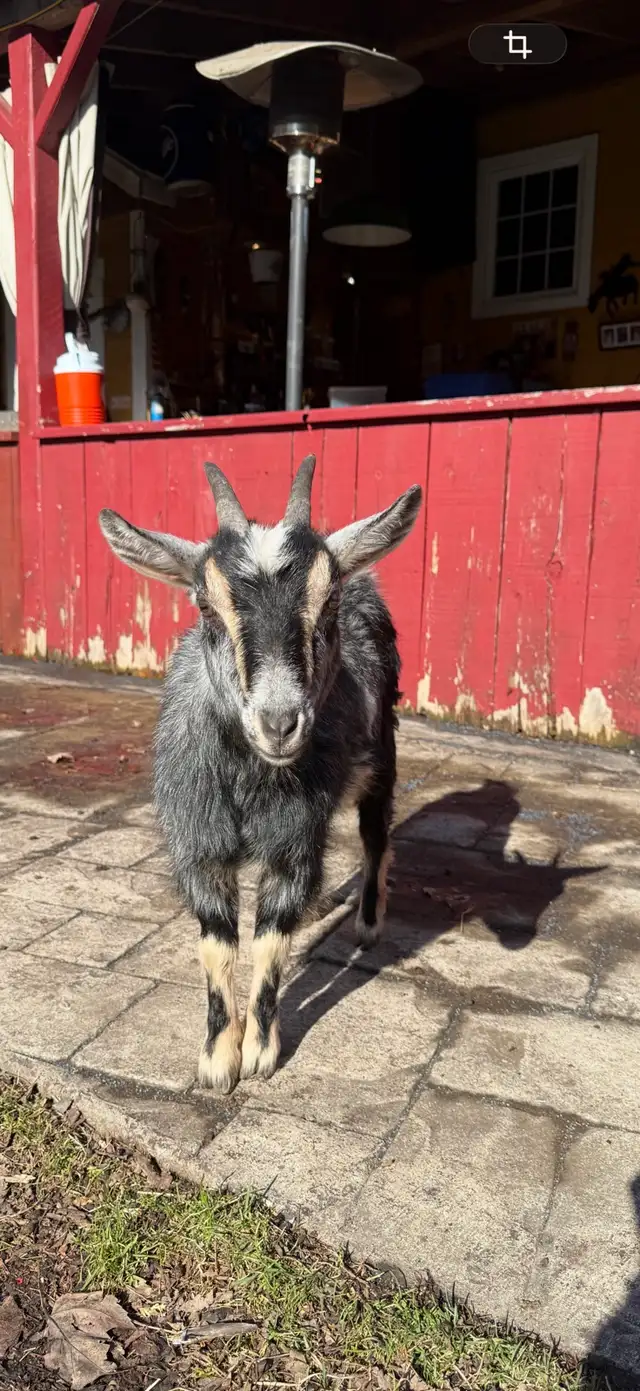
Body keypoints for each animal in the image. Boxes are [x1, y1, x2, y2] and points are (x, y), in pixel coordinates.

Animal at [99, 455, 422, 1093]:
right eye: (204, 604)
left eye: (327, 602)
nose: (278, 724)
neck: (250, 781)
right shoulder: (199, 842)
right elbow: (217, 944)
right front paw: (217, 1059)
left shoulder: (293, 842)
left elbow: (270, 942)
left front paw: (260, 1053)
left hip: (382, 754)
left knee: (377, 835)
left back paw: (368, 923)